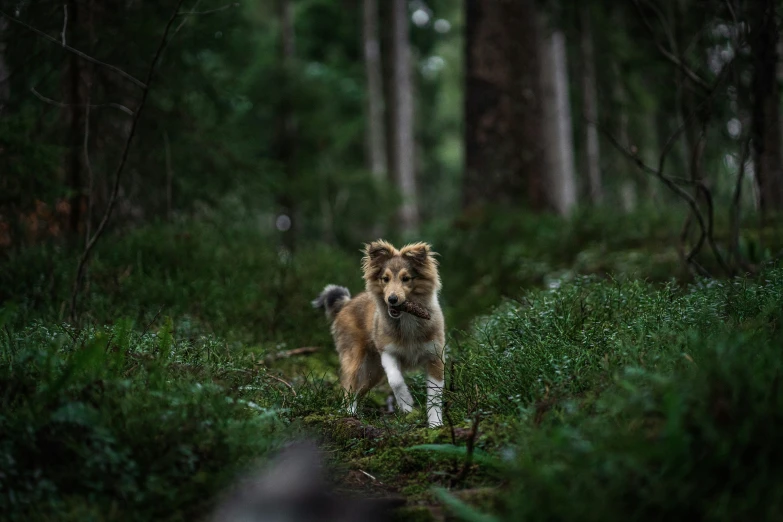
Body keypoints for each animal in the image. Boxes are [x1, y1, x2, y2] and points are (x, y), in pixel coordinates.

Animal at [312, 240, 448, 426]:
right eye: (385, 279)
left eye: (406, 278)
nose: (392, 299)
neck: (407, 318)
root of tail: (347, 303)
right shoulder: (387, 351)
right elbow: (395, 380)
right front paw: (406, 404)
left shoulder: (435, 357)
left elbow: (434, 397)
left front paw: (436, 424)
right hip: (354, 358)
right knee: (349, 387)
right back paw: (350, 413)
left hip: (373, 372)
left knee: (360, 389)